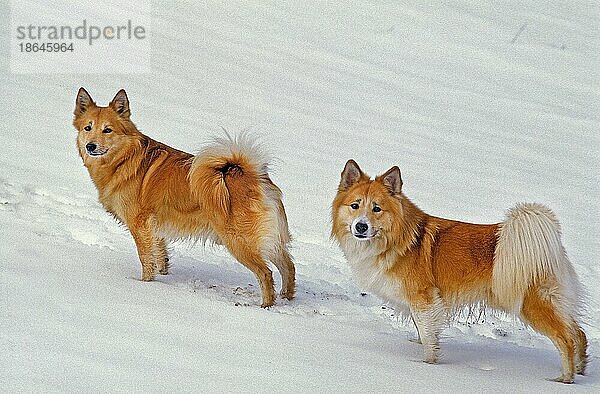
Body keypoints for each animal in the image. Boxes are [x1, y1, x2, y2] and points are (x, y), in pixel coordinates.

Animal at [73, 88, 296, 308]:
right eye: (88, 128)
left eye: (107, 130)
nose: (91, 146)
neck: (125, 159)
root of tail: (252, 175)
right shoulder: (155, 227)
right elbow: (160, 255)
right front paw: (162, 275)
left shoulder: (140, 225)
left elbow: (146, 259)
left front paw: (145, 284)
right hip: (267, 240)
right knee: (288, 265)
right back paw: (287, 297)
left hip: (239, 241)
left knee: (266, 273)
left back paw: (266, 306)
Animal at [330, 159, 588, 382]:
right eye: (355, 206)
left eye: (377, 209)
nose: (361, 226)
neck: (397, 240)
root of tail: (549, 245)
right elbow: (424, 331)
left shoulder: (424, 299)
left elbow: (428, 336)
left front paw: (427, 365)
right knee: (579, 333)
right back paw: (581, 370)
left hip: (533, 304)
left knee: (566, 339)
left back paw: (565, 379)